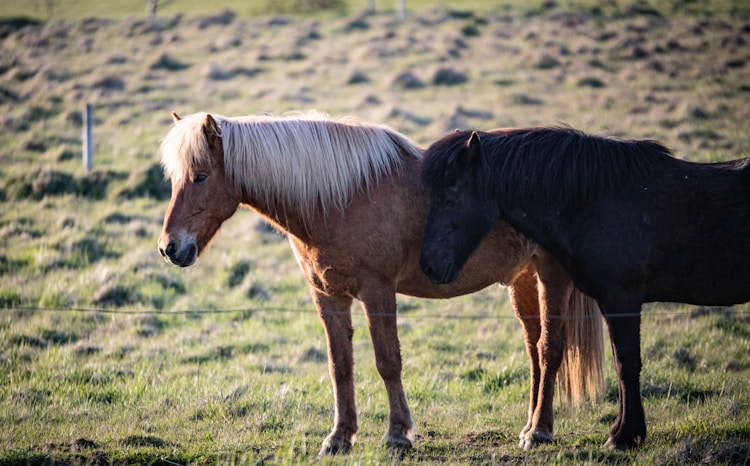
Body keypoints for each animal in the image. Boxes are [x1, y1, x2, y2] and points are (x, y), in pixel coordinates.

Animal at [157, 111, 604, 454]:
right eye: (175, 179)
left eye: (200, 177)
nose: (170, 247)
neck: (339, 198)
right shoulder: (328, 296)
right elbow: (340, 365)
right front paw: (339, 438)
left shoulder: (377, 292)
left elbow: (388, 362)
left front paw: (397, 435)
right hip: (523, 280)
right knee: (534, 351)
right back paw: (529, 427)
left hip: (552, 276)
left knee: (550, 349)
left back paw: (540, 432)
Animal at [420, 125, 750, 450]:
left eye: (450, 198)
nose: (429, 266)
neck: (597, 201)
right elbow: (618, 363)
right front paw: (623, 431)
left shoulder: (622, 299)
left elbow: (626, 363)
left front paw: (624, 436)